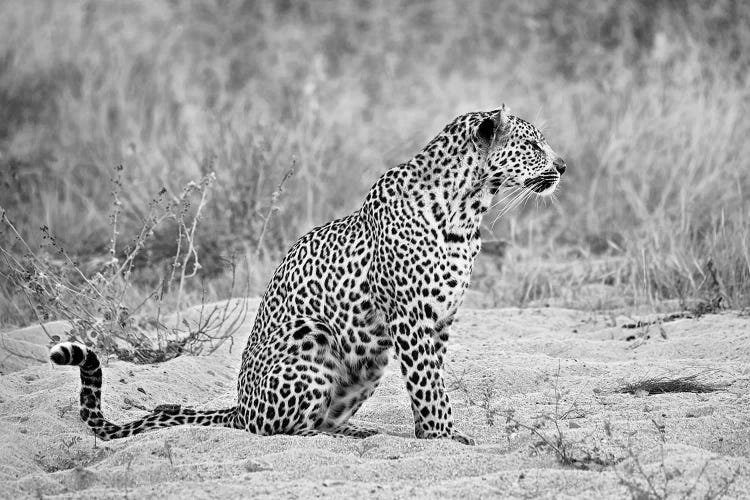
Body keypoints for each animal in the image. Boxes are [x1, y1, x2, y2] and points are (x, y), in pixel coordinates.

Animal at [50, 103, 568, 444]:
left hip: (368, 361)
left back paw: (359, 430)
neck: (468, 210)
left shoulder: (439, 320)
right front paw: (442, 438)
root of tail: (239, 409)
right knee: (287, 431)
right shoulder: (411, 319)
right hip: (311, 335)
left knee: (318, 420)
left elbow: (434, 381)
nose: (563, 164)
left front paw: (437, 433)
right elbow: (427, 384)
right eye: (532, 144)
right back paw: (342, 437)